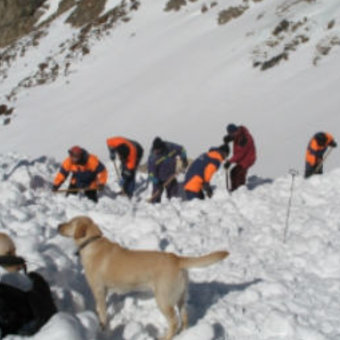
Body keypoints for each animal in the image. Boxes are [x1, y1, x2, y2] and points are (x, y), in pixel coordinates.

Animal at [57, 216, 228, 338]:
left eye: (70, 222)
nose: (58, 225)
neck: (92, 243)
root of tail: (176, 259)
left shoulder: (99, 289)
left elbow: (102, 312)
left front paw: (102, 327)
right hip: (180, 297)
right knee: (184, 317)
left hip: (164, 299)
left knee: (173, 322)